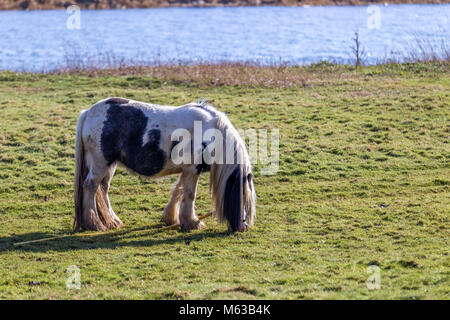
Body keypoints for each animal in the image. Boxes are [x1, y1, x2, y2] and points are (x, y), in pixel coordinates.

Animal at [74, 97, 256, 232]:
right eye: (243, 198)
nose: (243, 227)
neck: (211, 131)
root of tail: (88, 113)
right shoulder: (193, 169)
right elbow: (190, 194)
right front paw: (193, 222)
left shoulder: (187, 170)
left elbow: (178, 190)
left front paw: (171, 218)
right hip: (100, 163)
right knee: (91, 187)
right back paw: (95, 224)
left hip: (109, 166)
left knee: (103, 189)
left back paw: (112, 221)